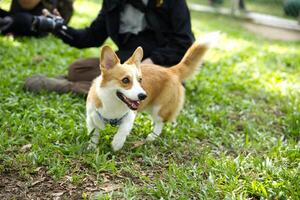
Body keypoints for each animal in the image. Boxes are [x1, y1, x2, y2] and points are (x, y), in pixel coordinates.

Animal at [85, 31, 219, 151]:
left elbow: (123, 129)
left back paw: (152, 136)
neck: (113, 103)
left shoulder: (130, 116)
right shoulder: (91, 115)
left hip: (159, 108)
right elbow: (94, 130)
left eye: (140, 80)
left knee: (160, 123)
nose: (143, 96)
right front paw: (92, 146)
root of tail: (171, 70)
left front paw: (117, 144)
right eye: (125, 80)